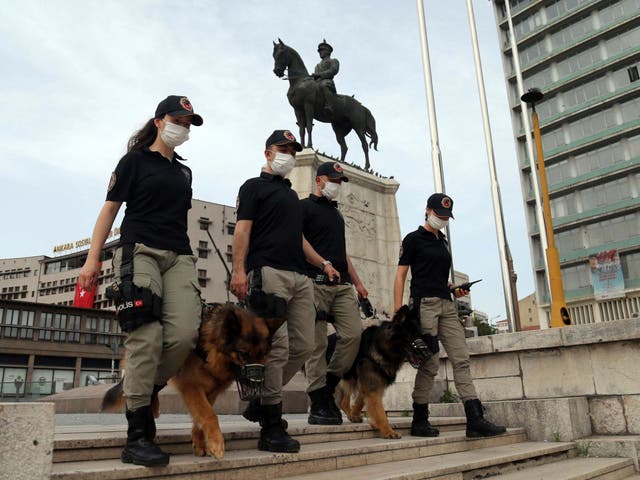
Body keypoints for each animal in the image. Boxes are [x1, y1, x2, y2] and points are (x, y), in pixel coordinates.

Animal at [102, 304, 284, 462]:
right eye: (243, 354)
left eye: (263, 354)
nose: (257, 383)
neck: (211, 348)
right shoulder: (192, 387)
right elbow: (209, 414)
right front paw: (216, 442)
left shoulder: (210, 391)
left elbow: (201, 416)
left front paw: (201, 443)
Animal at [330, 308, 424, 438]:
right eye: (412, 336)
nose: (426, 355)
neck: (381, 349)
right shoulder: (372, 387)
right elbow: (380, 412)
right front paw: (388, 431)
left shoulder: (372, 385)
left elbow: (362, 402)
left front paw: (359, 416)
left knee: (343, 401)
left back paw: (351, 416)